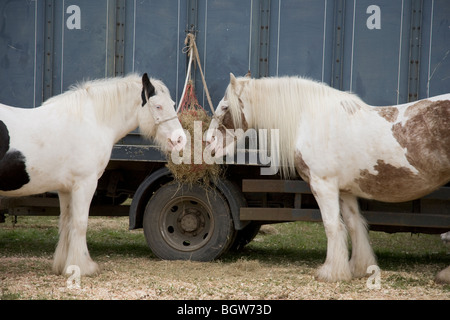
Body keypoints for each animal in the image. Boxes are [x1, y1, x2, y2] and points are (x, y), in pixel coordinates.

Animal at [0, 73, 186, 276]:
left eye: (172, 103)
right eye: (158, 106)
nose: (180, 139)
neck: (92, 122)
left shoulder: (65, 189)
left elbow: (66, 222)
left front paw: (64, 264)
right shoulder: (85, 184)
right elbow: (80, 223)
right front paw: (83, 266)